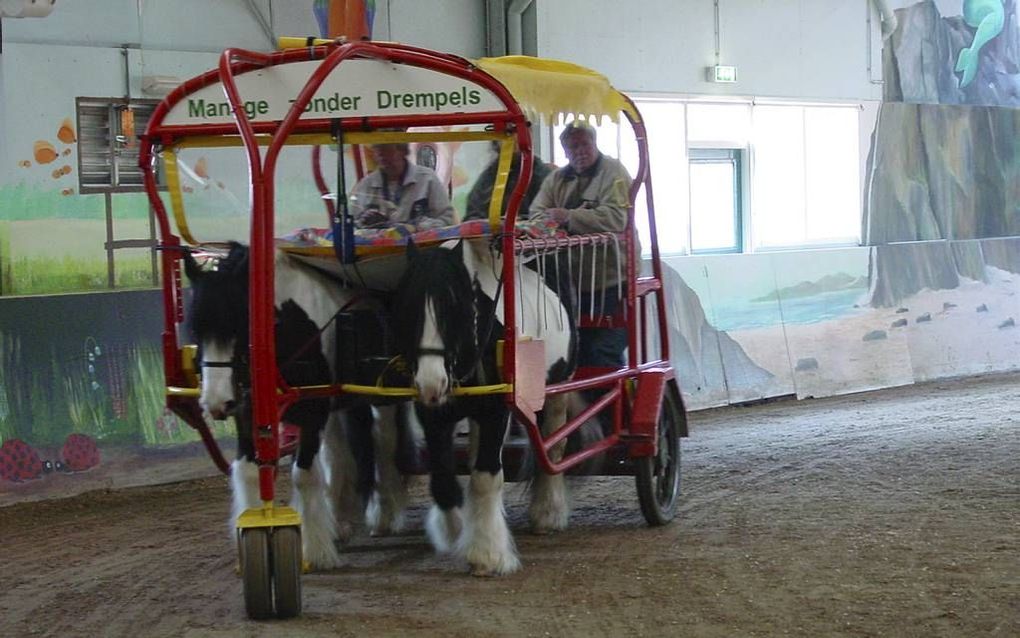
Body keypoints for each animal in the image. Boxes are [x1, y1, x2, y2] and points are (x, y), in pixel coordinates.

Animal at [183, 242, 405, 567]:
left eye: (239, 325)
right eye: (195, 331)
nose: (215, 402)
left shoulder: (313, 410)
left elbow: (303, 476)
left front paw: (316, 552)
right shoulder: (248, 413)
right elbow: (248, 471)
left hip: (381, 397)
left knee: (383, 445)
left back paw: (382, 515)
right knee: (338, 454)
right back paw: (338, 521)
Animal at [393, 237, 579, 571]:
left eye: (455, 308)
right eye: (406, 306)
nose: (431, 382)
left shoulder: (496, 411)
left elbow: (485, 477)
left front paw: (488, 554)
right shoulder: (433, 414)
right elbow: (443, 479)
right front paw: (455, 533)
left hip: (559, 387)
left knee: (554, 447)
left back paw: (548, 512)